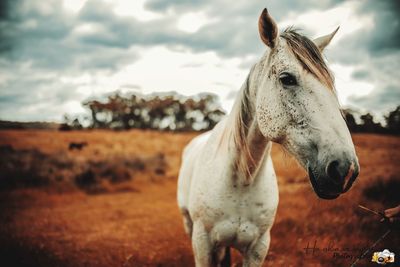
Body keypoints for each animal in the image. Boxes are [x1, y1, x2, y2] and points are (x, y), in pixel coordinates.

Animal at [178, 8, 360, 267]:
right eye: (287, 79)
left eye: (330, 84)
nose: (345, 170)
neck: (241, 180)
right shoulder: (202, 244)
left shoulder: (258, 247)